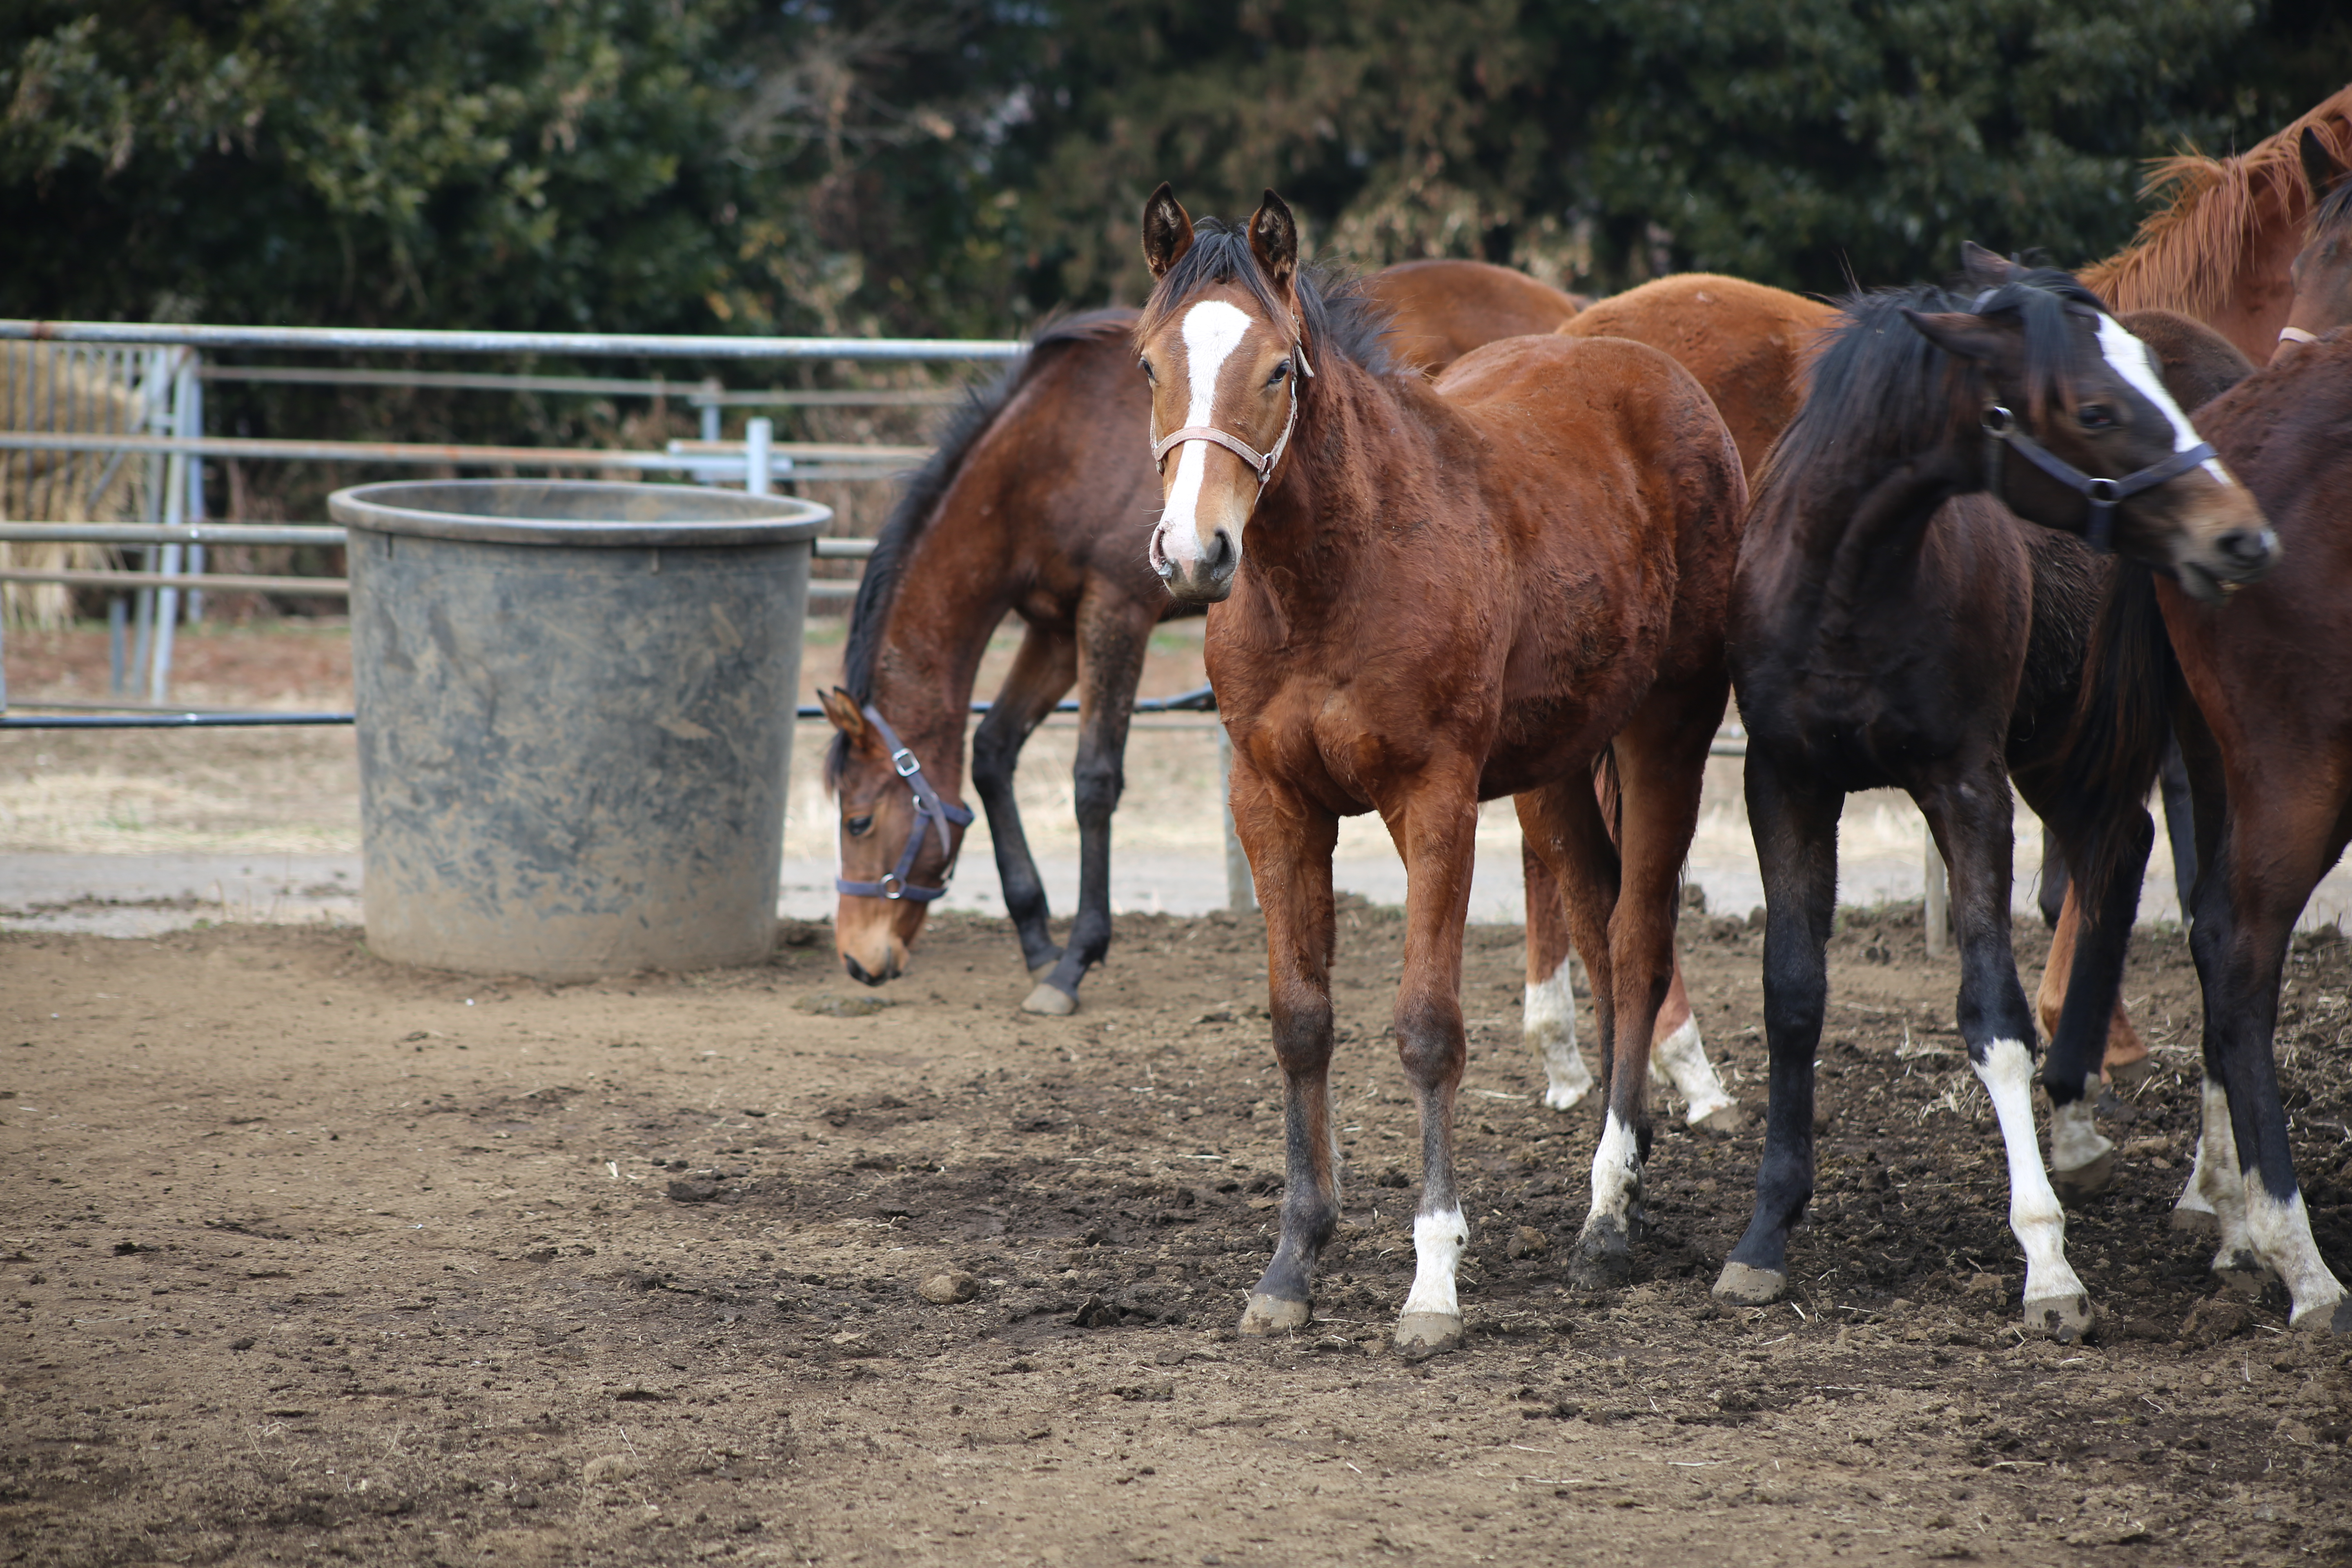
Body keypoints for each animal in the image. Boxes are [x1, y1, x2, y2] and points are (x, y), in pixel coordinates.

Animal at [1138, 187, 1750, 1354]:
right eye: (1148, 364)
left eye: (1277, 370)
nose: (1194, 555)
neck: (1335, 574)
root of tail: (1667, 382)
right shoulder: (1270, 802)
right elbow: (1300, 1022)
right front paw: (1291, 1263)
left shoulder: (1433, 798)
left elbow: (1426, 1029)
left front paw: (1433, 1279)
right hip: (1557, 766)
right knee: (1599, 924)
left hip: (1667, 729)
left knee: (1639, 939)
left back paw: (1606, 1220)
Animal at [1712, 257, 2276, 1335]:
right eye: (2094, 409)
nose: (2241, 535)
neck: (1849, 581)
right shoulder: (1785, 781)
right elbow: (1791, 995)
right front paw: (1762, 1236)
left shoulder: (1965, 786)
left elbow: (1991, 1012)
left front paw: (2047, 1266)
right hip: (2059, 742)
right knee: (2119, 853)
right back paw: (2078, 1122)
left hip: (2182, 741)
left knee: (2208, 926)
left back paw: (2217, 1202)